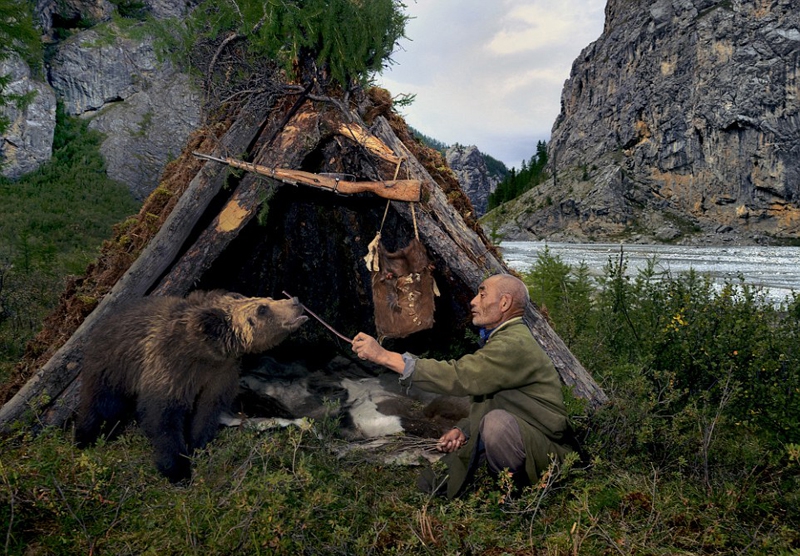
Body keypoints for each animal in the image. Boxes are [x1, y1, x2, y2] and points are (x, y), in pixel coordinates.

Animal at [74, 292, 306, 482]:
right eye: (262, 308)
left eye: (268, 298)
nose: (295, 301)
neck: (203, 354)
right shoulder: (170, 370)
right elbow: (162, 417)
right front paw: (178, 469)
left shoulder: (220, 375)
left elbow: (206, 412)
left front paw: (198, 447)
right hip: (112, 366)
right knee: (101, 404)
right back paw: (86, 438)